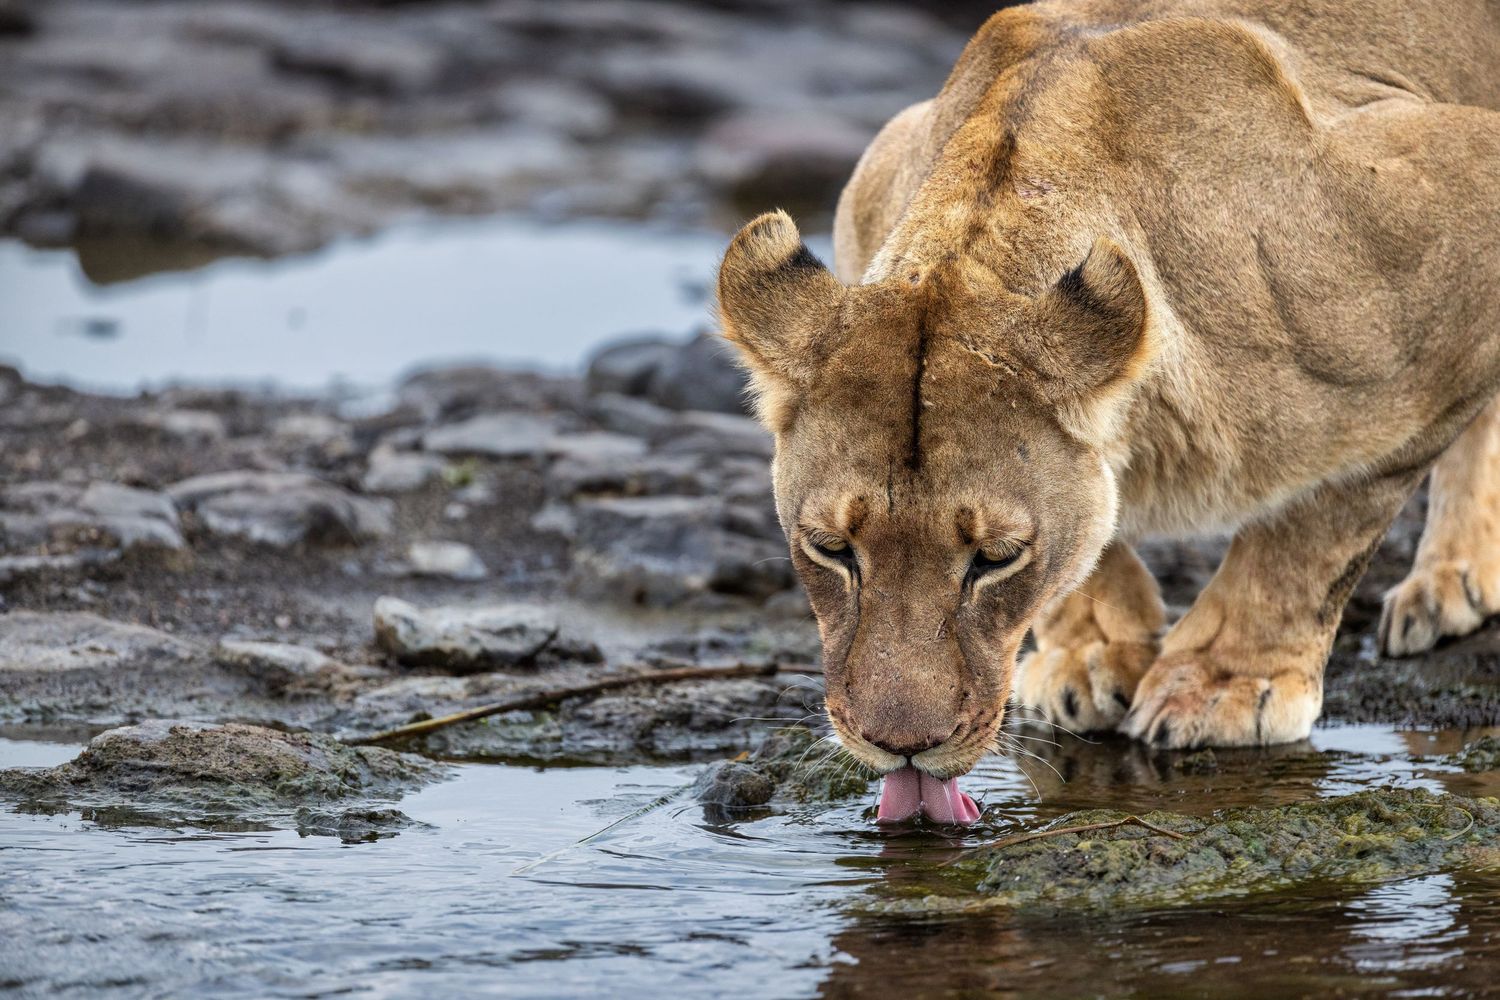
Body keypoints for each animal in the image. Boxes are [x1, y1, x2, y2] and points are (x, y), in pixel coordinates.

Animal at [714, 0, 1500, 821]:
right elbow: (1092, 524)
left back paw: (1447, 580)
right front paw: (1089, 649)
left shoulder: (1457, 195)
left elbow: (1316, 532)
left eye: (996, 559)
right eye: (831, 548)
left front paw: (1225, 684)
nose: (901, 747)